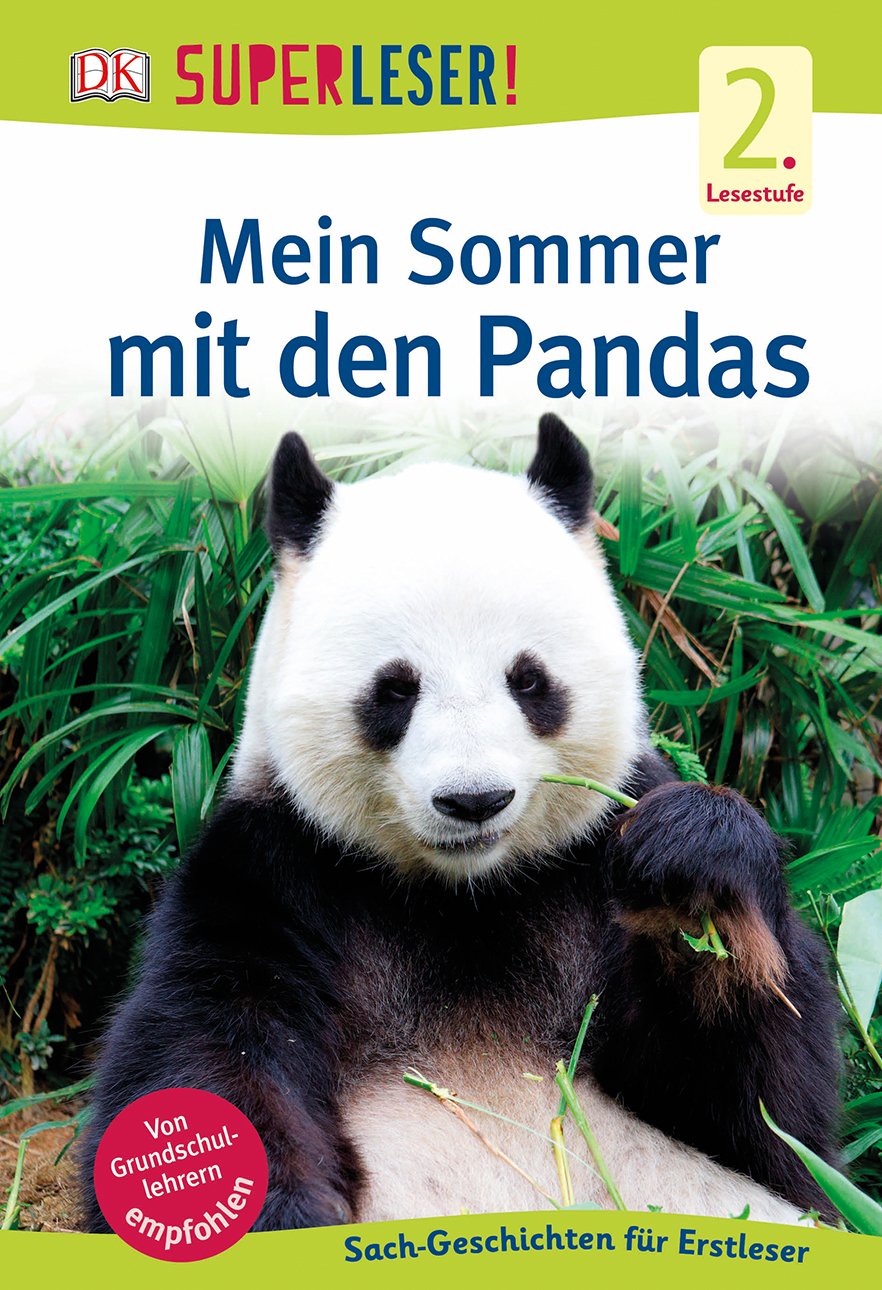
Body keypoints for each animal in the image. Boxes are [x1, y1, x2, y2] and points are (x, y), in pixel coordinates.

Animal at [81, 414, 840, 1231]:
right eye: (394, 690)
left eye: (529, 681)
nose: (474, 800)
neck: (465, 897)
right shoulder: (275, 871)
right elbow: (210, 1056)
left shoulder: (589, 865)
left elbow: (772, 1126)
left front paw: (692, 870)